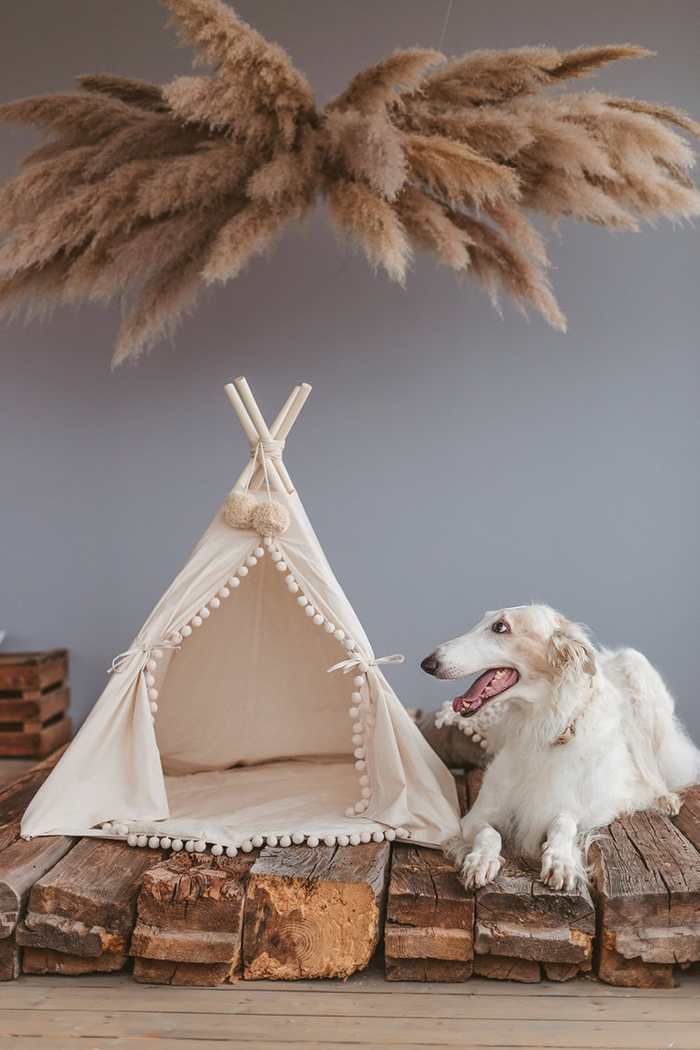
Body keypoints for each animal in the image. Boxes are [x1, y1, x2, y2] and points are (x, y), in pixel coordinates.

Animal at [421, 604, 700, 890]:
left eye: (500, 627)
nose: (427, 663)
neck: (545, 728)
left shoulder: (579, 805)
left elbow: (563, 822)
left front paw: (560, 861)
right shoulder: (477, 814)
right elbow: (489, 833)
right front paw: (481, 861)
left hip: (637, 669)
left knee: (653, 769)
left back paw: (663, 797)